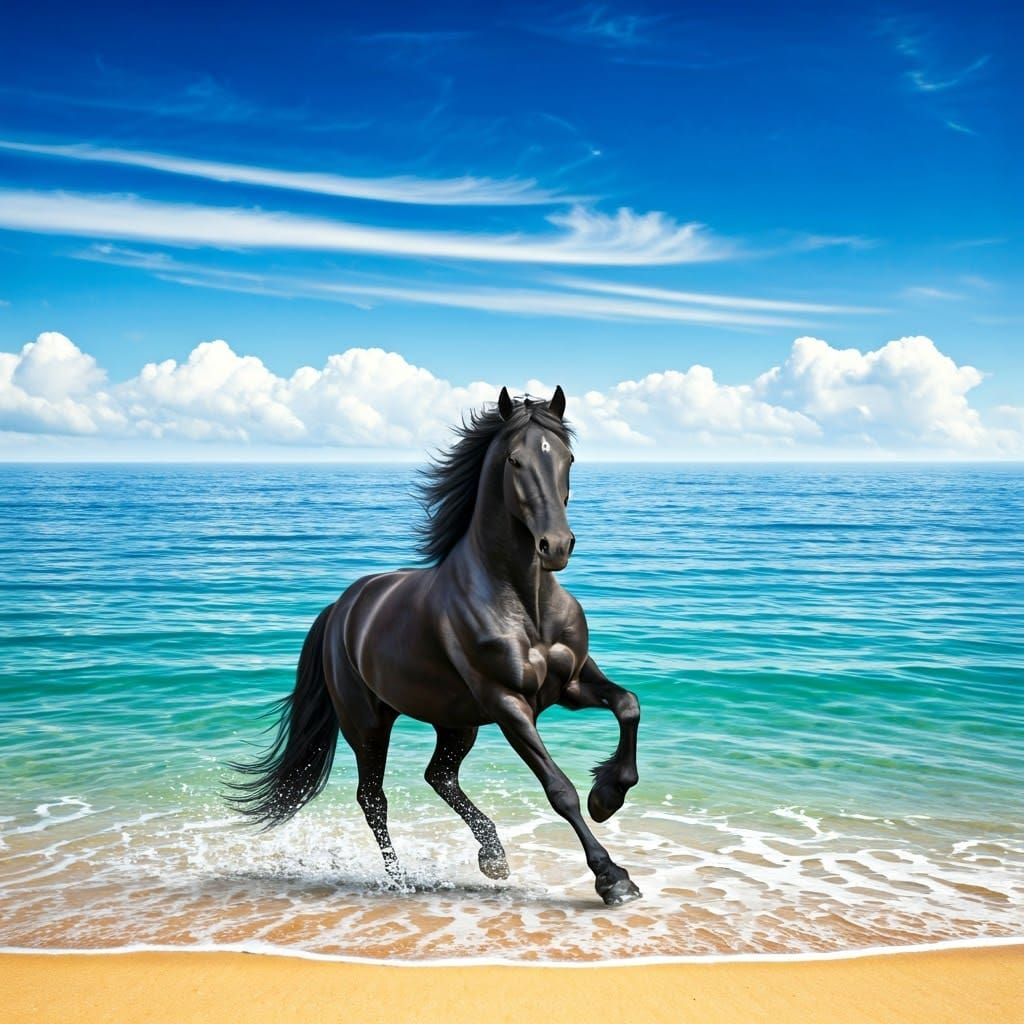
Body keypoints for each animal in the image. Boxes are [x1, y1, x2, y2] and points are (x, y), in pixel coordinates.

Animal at [227, 386, 642, 905]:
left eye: (567, 457)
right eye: (515, 460)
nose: (556, 545)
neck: (526, 602)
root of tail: (341, 608)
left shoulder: (570, 684)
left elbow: (628, 705)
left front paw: (606, 796)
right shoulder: (508, 703)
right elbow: (558, 788)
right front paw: (613, 878)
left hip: (456, 721)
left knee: (439, 776)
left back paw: (493, 857)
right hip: (368, 724)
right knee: (373, 798)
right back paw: (400, 880)